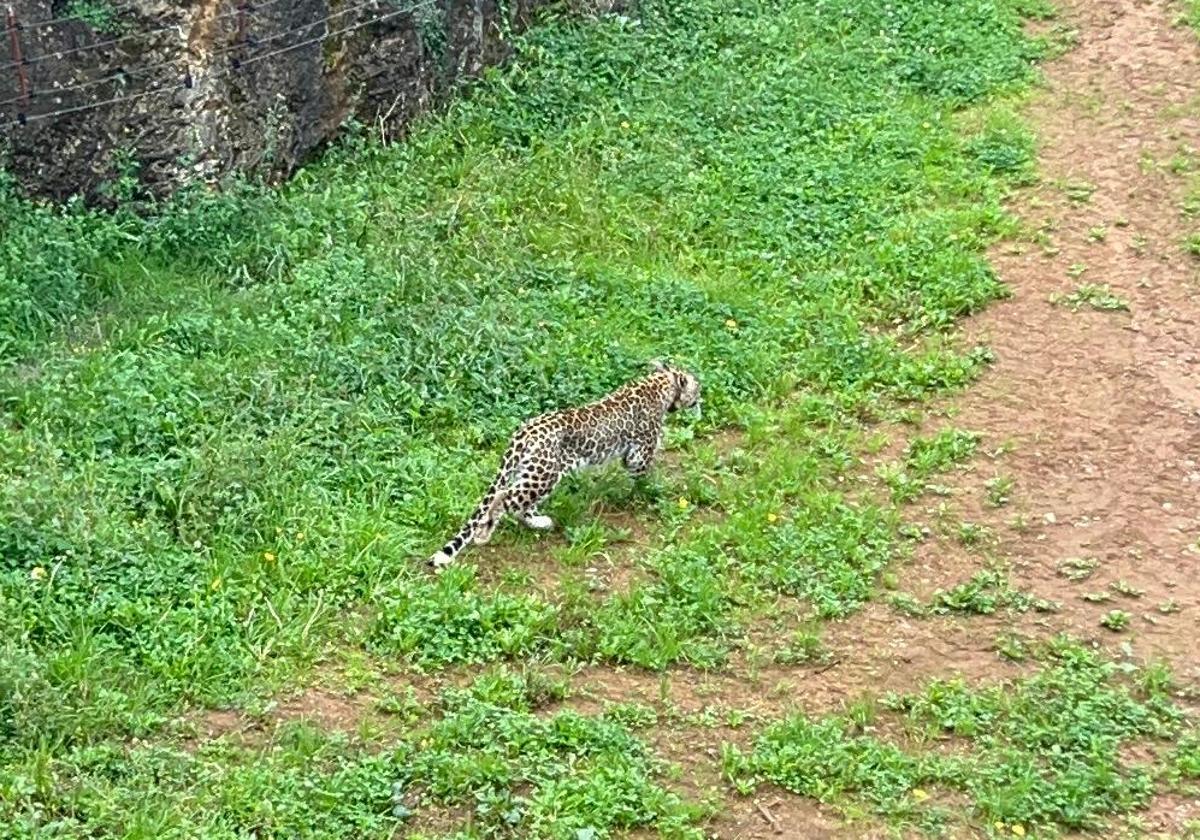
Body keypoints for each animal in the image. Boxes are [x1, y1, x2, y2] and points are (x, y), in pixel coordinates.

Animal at [427, 362, 700, 571]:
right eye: (697, 387)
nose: (701, 399)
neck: (660, 384)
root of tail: (523, 433)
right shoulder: (639, 454)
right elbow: (644, 475)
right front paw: (652, 490)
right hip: (544, 475)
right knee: (504, 497)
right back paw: (484, 534)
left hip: (535, 473)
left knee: (520, 506)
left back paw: (540, 522)